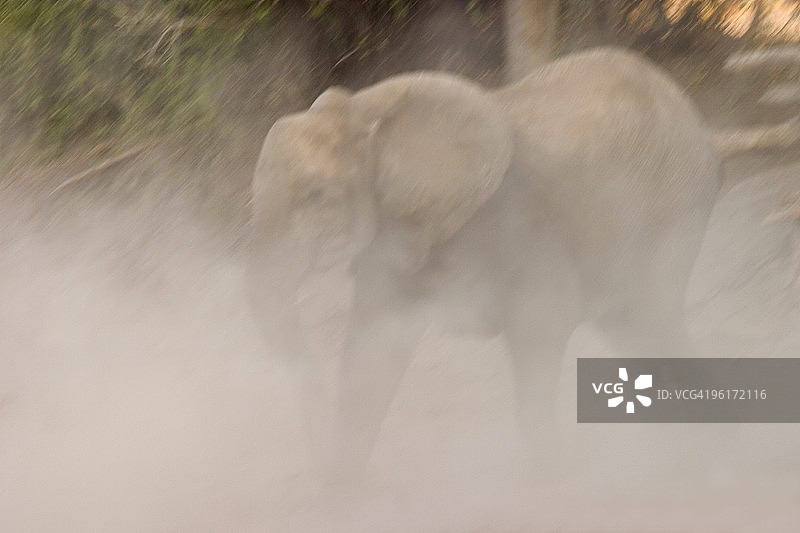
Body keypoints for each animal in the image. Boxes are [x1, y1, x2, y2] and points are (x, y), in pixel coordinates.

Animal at [245, 46, 723, 481]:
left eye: (315, 196)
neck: (363, 110)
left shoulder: (517, 218)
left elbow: (544, 317)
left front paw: (564, 472)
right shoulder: (394, 231)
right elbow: (373, 344)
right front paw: (340, 488)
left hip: (675, 202)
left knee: (655, 314)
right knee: (637, 329)